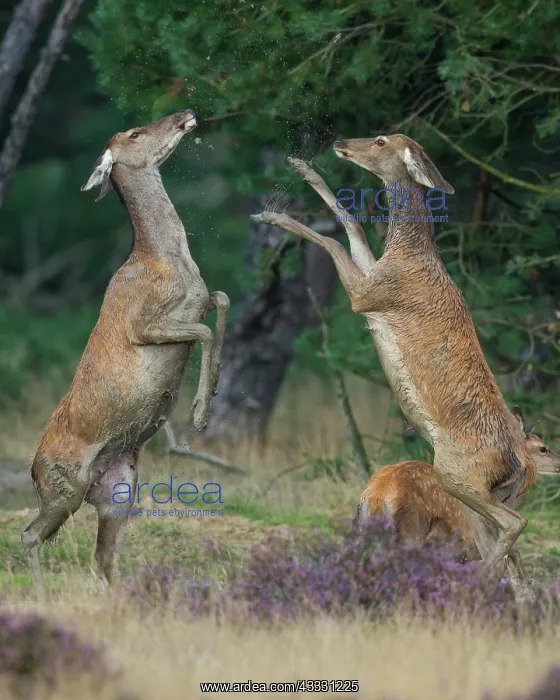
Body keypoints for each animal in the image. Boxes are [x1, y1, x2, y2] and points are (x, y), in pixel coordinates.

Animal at [22, 109, 230, 597]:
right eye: (135, 132)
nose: (185, 114)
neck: (170, 262)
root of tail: (33, 470)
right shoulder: (141, 324)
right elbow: (204, 331)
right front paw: (198, 415)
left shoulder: (199, 299)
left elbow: (222, 299)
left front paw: (211, 394)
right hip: (64, 487)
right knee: (30, 533)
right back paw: (41, 594)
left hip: (118, 491)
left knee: (103, 555)